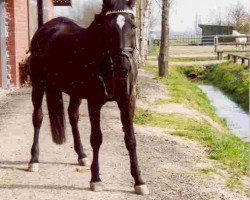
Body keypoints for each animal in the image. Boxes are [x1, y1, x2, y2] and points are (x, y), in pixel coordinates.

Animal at [27, 0, 148, 195]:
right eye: (107, 28)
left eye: (134, 26)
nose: (122, 68)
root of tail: (45, 29)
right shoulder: (94, 102)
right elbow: (96, 138)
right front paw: (96, 179)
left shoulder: (128, 101)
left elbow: (130, 139)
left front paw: (139, 181)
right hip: (38, 84)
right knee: (37, 117)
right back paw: (34, 160)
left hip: (74, 92)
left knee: (73, 116)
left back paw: (82, 155)